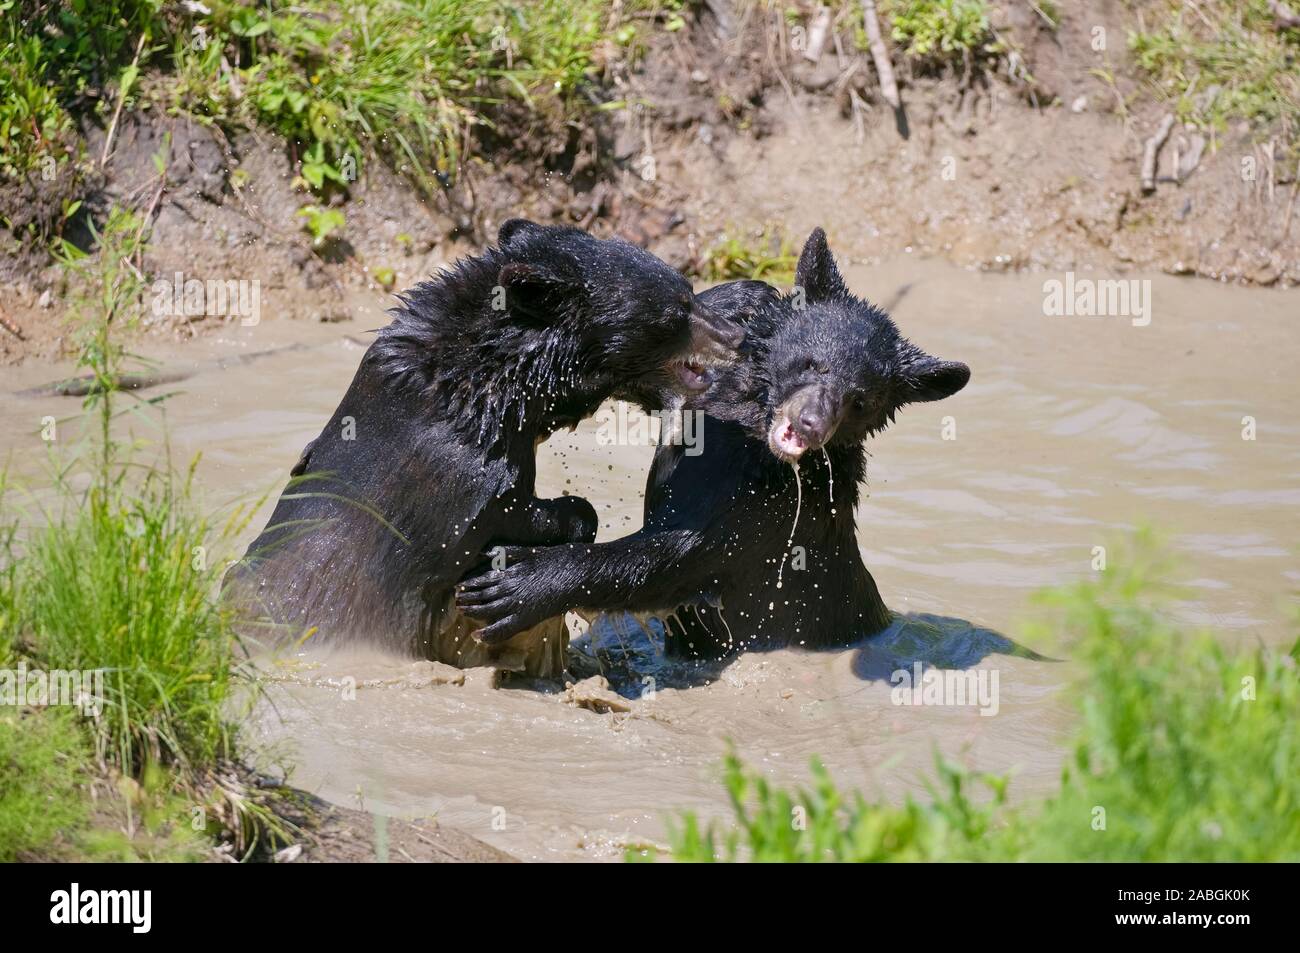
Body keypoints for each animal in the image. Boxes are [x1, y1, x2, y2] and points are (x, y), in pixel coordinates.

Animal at [223, 219, 743, 670]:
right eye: (678, 310)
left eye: (689, 290)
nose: (736, 335)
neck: (479, 391)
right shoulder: (458, 477)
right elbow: (510, 513)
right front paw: (557, 527)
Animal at [452, 230, 972, 657]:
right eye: (812, 363)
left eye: (861, 400)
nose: (810, 425)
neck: (755, 438)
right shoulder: (698, 403)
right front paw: (748, 298)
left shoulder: (766, 509)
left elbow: (676, 555)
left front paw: (516, 584)